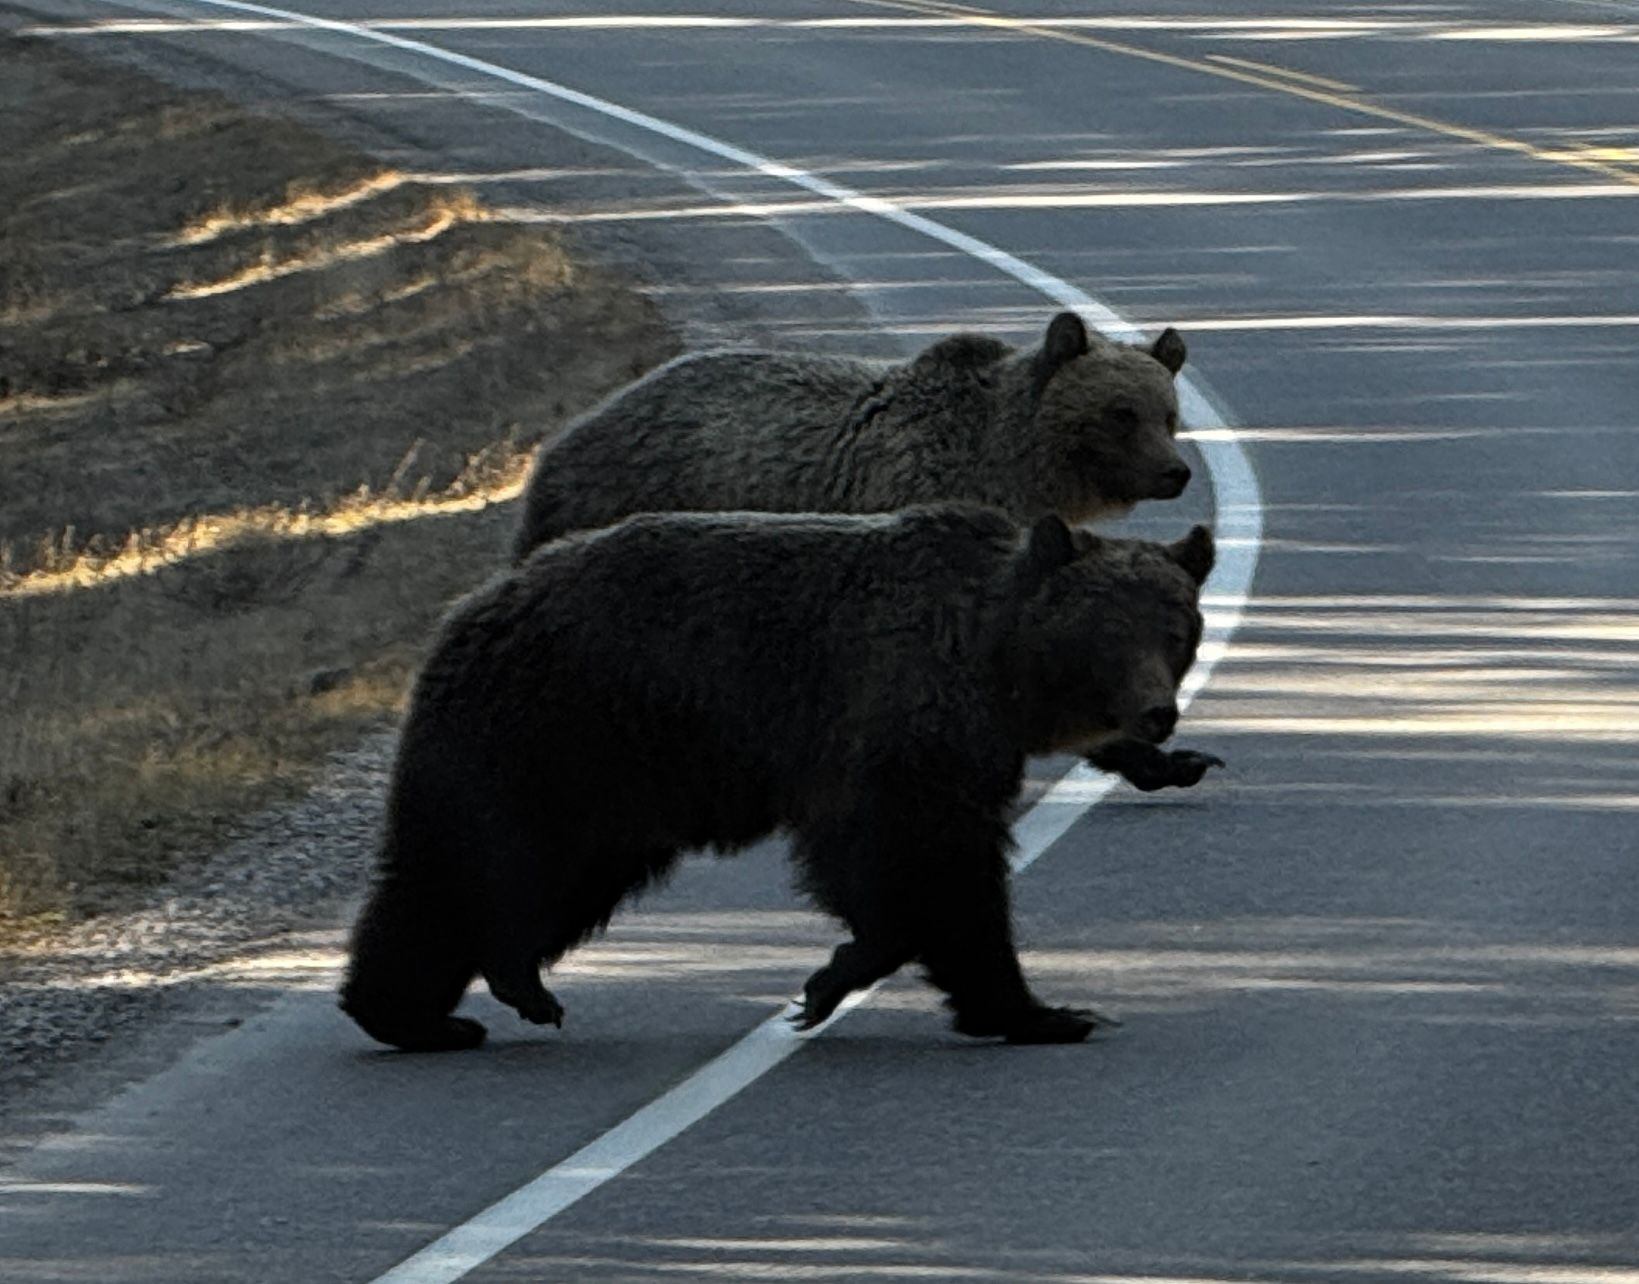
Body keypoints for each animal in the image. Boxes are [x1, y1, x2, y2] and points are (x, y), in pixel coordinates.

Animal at [338, 504, 1214, 1053]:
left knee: (550, 879)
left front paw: (834, 975)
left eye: (1175, 631)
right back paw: (421, 1012)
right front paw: (1040, 1010)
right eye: (1108, 632)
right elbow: (930, 870)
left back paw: (468, 994)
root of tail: (470, 605)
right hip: (551, 734)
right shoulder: (899, 724)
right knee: (468, 868)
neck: (997, 666)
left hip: (609, 783)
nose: (1155, 714)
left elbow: (887, 871)